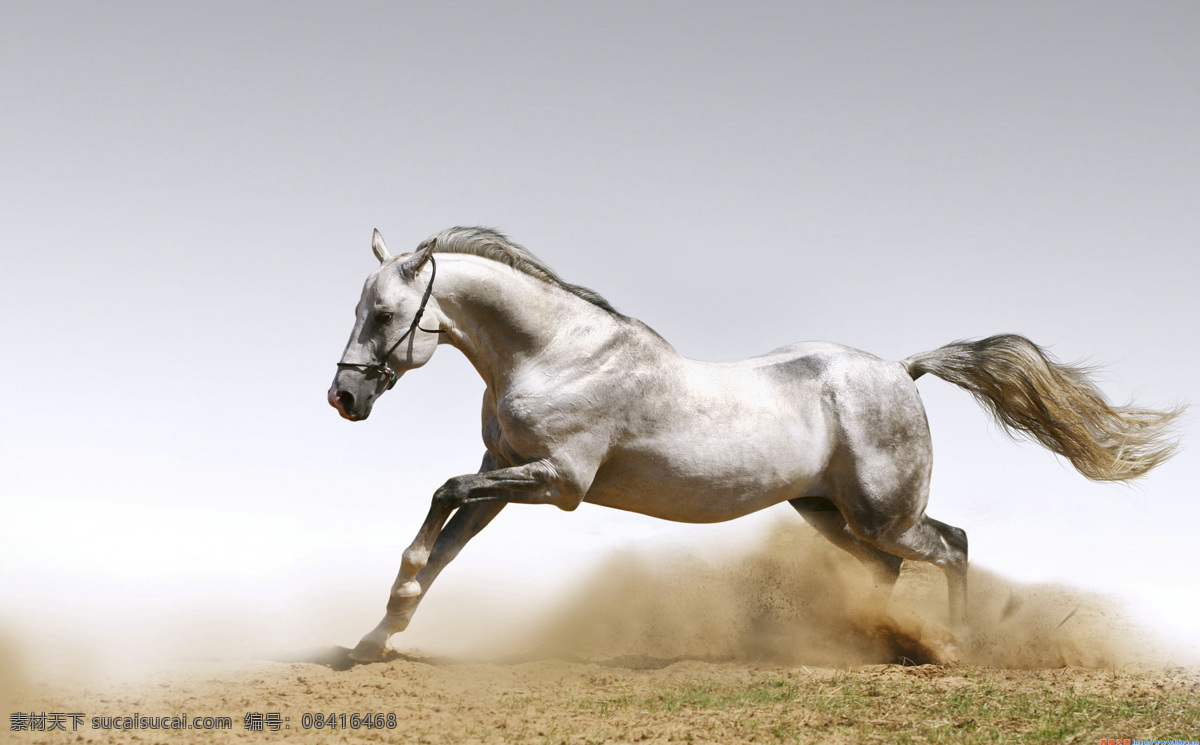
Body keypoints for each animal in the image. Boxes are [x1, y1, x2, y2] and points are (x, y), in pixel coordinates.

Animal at [328, 226, 1182, 663]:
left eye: (384, 313)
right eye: (361, 308)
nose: (344, 397)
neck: (555, 352)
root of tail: (902, 370)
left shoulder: (556, 481)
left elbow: (439, 498)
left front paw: (386, 613)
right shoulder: (504, 469)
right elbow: (445, 544)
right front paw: (375, 637)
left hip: (884, 511)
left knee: (954, 544)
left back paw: (953, 647)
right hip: (826, 511)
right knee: (890, 568)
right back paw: (868, 642)